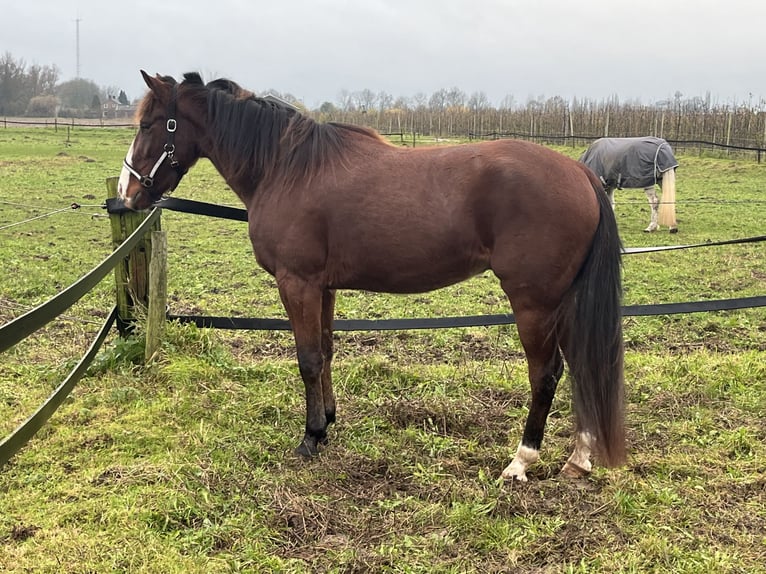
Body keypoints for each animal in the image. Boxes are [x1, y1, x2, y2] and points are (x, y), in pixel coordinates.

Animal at [117, 73, 628, 486]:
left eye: (149, 125)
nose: (126, 195)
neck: (286, 169)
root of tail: (580, 172)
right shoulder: (322, 287)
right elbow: (325, 353)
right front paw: (326, 422)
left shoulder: (297, 283)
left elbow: (307, 359)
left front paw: (309, 438)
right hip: (563, 302)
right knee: (581, 366)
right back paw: (579, 459)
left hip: (534, 304)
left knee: (546, 374)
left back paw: (521, 461)